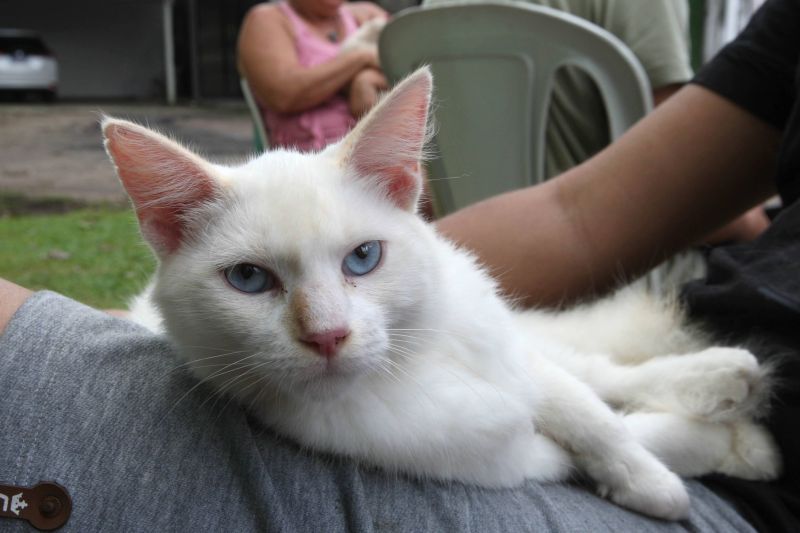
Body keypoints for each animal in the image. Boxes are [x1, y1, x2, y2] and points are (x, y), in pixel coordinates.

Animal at [101, 67, 780, 520]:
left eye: (363, 258)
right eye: (248, 279)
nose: (327, 335)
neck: (412, 362)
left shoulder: (515, 364)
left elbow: (591, 411)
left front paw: (654, 475)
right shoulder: (510, 462)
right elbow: (627, 430)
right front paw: (696, 461)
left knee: (592, 367)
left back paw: (722, 375)